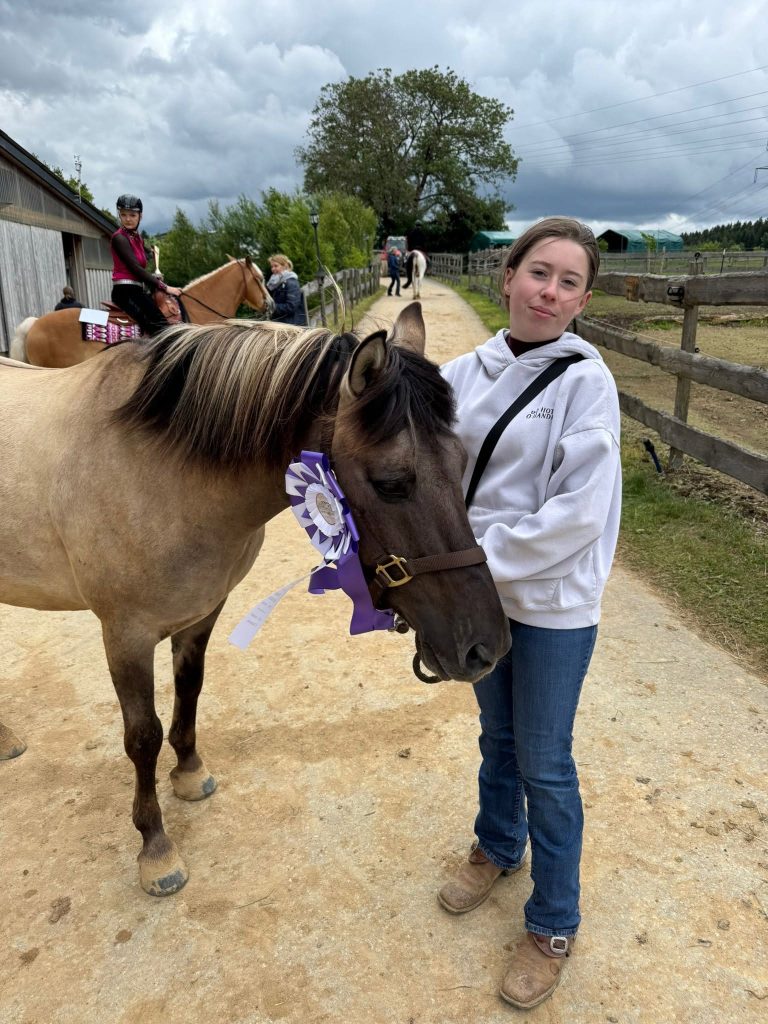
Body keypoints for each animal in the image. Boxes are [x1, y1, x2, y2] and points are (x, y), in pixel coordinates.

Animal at [0, 302, 510, 897]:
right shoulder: (125, 633)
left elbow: (190, 691)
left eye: (460, 461)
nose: (487, 648)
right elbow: (142, 737)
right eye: (390, 482)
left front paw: (190, 773)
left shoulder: (201, 613)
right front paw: (155, 848)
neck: (156, 469)